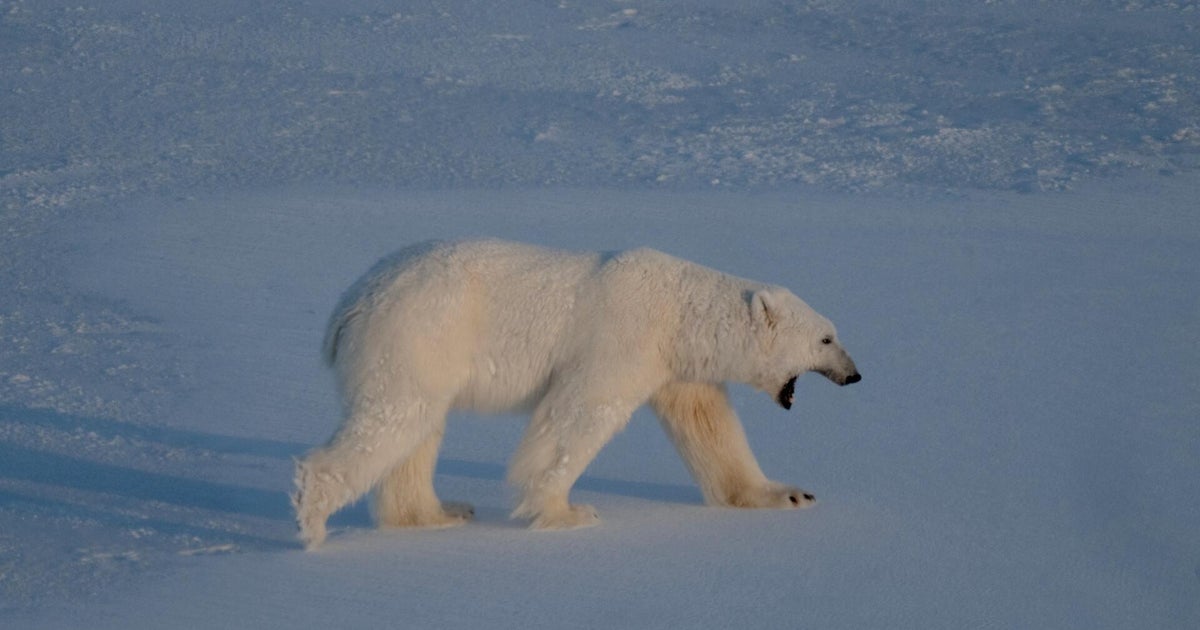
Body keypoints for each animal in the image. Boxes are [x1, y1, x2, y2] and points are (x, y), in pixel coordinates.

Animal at [293, 239, 860, 549]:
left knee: (417, 430)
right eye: (826, 339)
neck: (679, 311)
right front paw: (567, 512)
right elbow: (581, 411)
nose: (855, 375)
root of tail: (349, 303)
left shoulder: (677, 365)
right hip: (419, 333)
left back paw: (438, 513)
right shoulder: (623, 337)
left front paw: (789, 495)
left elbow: (709, 426)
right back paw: (313, 519)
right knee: (394, 418)